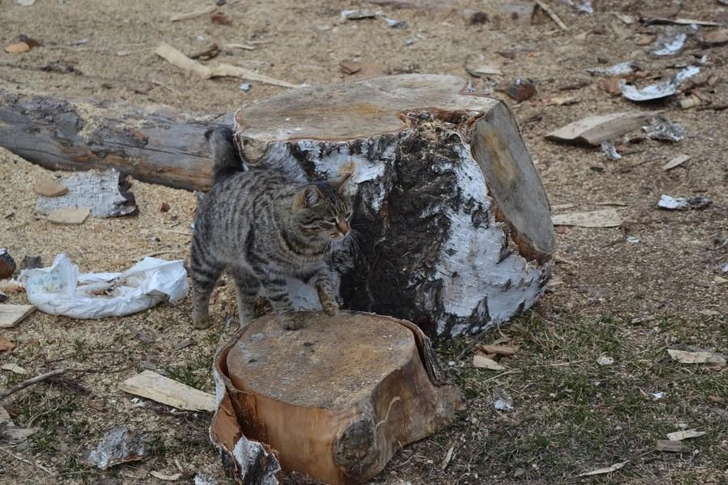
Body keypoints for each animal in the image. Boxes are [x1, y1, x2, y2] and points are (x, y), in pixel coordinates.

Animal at [191, 125, 352, 328]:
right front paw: (289, 318)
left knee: (244, 299)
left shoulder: (312, 267)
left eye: (348, 215)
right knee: (200, 290)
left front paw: (330, 304)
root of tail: (226, 176)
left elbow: (325, 282)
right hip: (205, 260)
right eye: (331, 220)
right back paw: (200, 318)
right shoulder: (267, 270)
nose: (346, 230)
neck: (308, 245)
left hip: (247, 275)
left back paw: (247, 324)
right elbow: (280, 296)